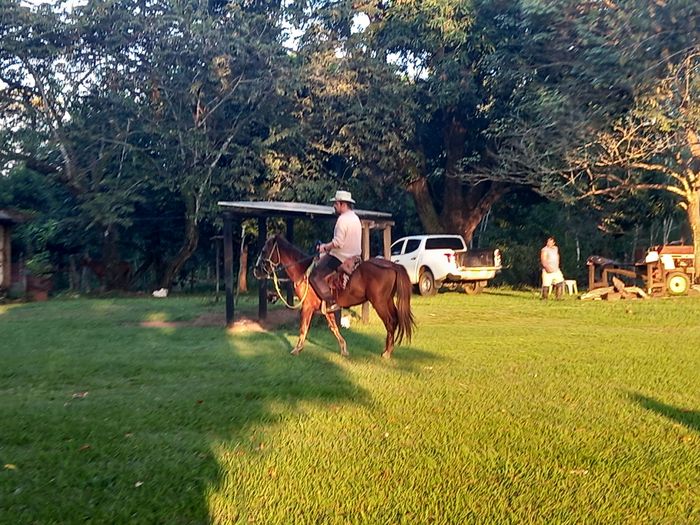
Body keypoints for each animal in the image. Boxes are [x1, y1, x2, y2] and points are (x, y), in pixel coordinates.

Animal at [253, 234, 415, 359]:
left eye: (264, 250)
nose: (256, 271)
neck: (303, 271)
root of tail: (393, 266)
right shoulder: (327, 308)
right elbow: (334, 328)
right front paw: (344, 349)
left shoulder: (307, 306)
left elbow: (303, 328)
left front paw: (297, 349)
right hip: (387, 301)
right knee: (395, 320)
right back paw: (388, 349)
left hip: (379, 303)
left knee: (390, 322)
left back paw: (387, 352)